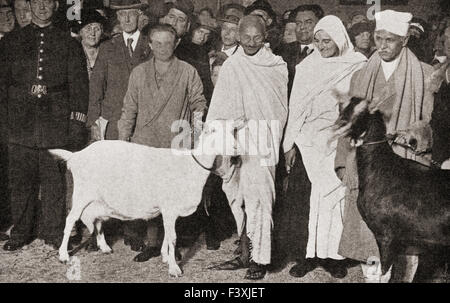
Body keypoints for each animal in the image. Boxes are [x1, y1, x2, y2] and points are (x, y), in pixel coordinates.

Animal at [51, 120, 244, 278]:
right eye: (212, 130)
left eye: (232, 130)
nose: (236, 148)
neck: (189, 167)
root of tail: (76, 155)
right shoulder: (169, 208)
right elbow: (173, 237)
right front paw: (174, 268)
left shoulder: (168, 211)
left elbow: (166, 235)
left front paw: (165, 257)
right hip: (82, 193)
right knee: (70, 219)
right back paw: (63, 255)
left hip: (97, 199)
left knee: (96, 220)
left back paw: (104, 247)